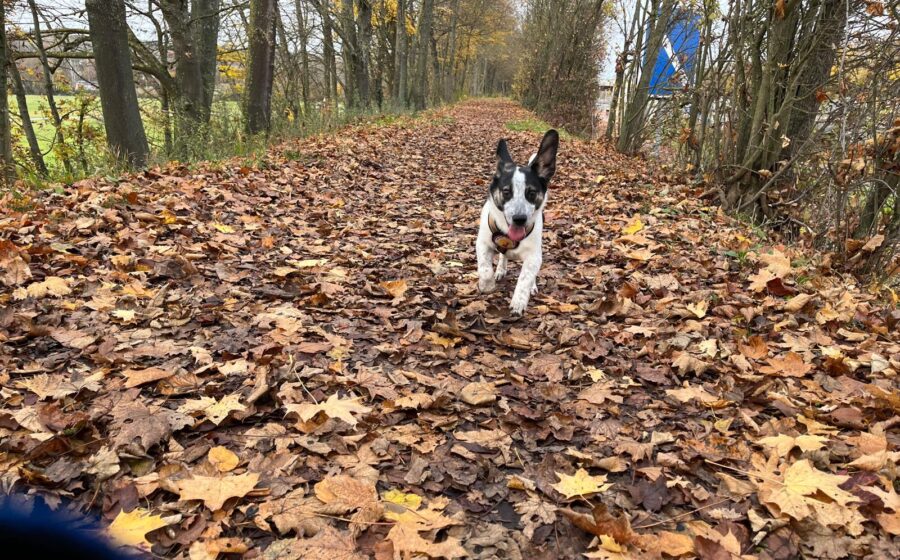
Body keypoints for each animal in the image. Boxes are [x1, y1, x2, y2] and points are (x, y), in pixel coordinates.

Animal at [476, 130, 559, 315]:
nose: (519, 219)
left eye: (532, 193)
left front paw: (519, 301)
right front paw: (487, 284)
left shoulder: (534, 256)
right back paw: (500, 269)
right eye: (506, 191)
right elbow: (485, 268)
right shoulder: (482, 243)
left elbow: (525, 278)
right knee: (502, 257)